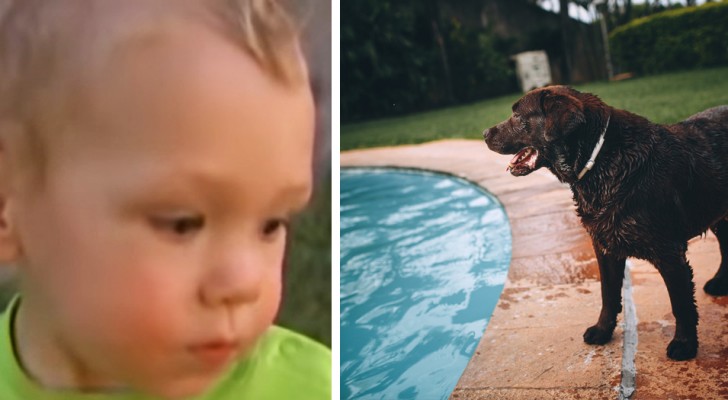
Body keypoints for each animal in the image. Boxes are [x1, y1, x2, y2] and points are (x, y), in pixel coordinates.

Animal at [484, 86, 728, 360]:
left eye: (517, 115)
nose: (484, 134)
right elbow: (608, 295)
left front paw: (684, 344)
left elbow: (681, 304)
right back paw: (720, 282)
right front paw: (602, 331)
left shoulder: (669, 252)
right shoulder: (605, 247)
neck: (600, 161)